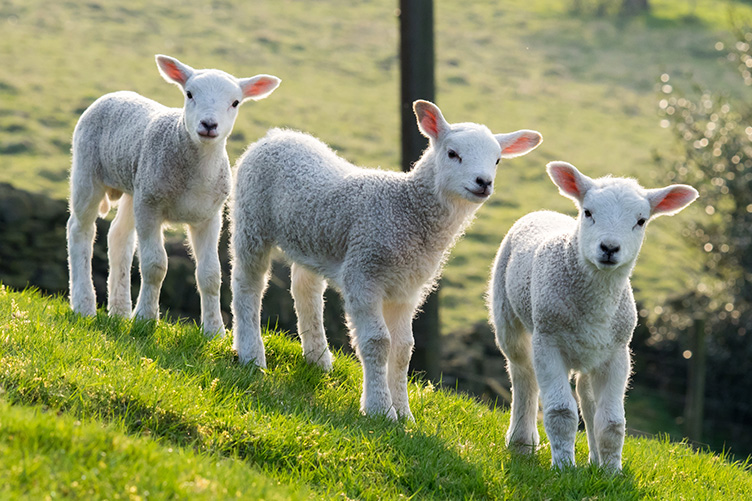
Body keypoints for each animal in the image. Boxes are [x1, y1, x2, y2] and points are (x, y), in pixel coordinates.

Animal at [67, 54, 281, 335]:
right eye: (189, 94)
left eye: (235, 102)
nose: (209, 125)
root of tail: (114, 94)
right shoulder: (151, 206)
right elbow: (155, 265)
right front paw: (145, 318)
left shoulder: (209, 216)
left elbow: (211, 274)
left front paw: (214, 331)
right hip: (88, 170)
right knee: (80, 229)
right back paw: (83, 304)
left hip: (136, 188)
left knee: (119, 237)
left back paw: (119, 311)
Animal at [231, 100, 542, 420]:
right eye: (452, 153)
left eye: (497, 160)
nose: (483, 182)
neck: (406, 209)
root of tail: (275, 135)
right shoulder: (363, 273)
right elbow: (378, 342)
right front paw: (379, 409)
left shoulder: (407, 289)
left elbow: (403, 349)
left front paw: (404, 414)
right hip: (251, 218)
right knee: (248, 283)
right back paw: (251, 353)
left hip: (311, 238)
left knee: (306, 289)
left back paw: (317, 358)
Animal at [488, 161, 698, 470]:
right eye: (588, 212)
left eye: (641, 221)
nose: (609, 248)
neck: (595, 304)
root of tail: (544, 212)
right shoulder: (548, 341)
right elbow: (561, 412)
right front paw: (564, 468)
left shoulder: (617, 353)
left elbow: (612, 422)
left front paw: (611, 472)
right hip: (508, 315)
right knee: (523, 374)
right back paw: (521, 443)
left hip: (590, 351)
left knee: (585, 395)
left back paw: (595, 460)